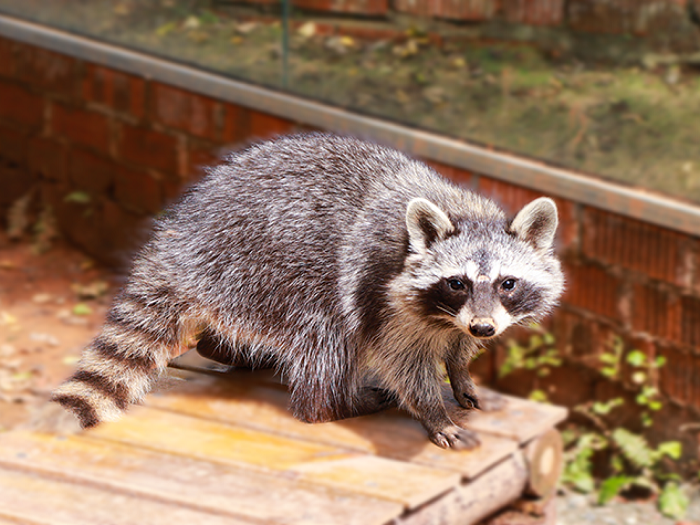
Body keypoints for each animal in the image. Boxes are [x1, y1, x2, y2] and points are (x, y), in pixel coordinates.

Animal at [50, 133, 564, 448]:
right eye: (457, 283)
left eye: (508, 283)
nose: (483, 328)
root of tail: (181, 239)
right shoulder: (380, 288)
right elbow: (401, 358)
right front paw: (432, 409)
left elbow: (455, 343)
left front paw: (460, 370)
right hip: (263, 265)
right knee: (327, 333)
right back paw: (333, 404)